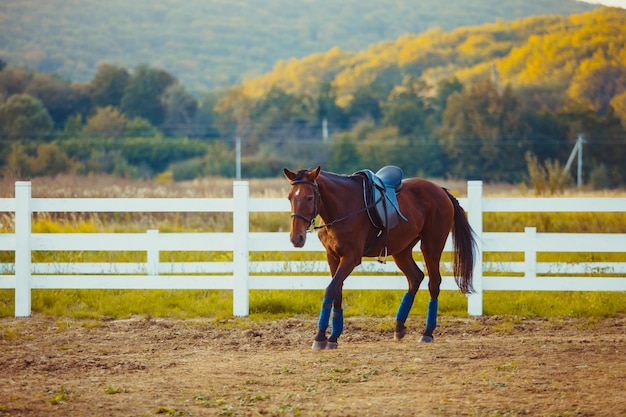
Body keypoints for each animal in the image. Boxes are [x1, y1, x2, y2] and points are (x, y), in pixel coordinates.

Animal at [282, 165, 472, 348]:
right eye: (290, 198)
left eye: (309, 197)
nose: (296, 238)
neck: (343, 207)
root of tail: (441, 190)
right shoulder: (333, 257)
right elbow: (337, 292)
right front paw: (334, 337)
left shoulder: (351, 258)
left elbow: (330, 289)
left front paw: (320, 337)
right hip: (401, 251)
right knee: (415, 277)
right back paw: (399, 326)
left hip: (431, 247)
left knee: (433, 283)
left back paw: (427, 332)